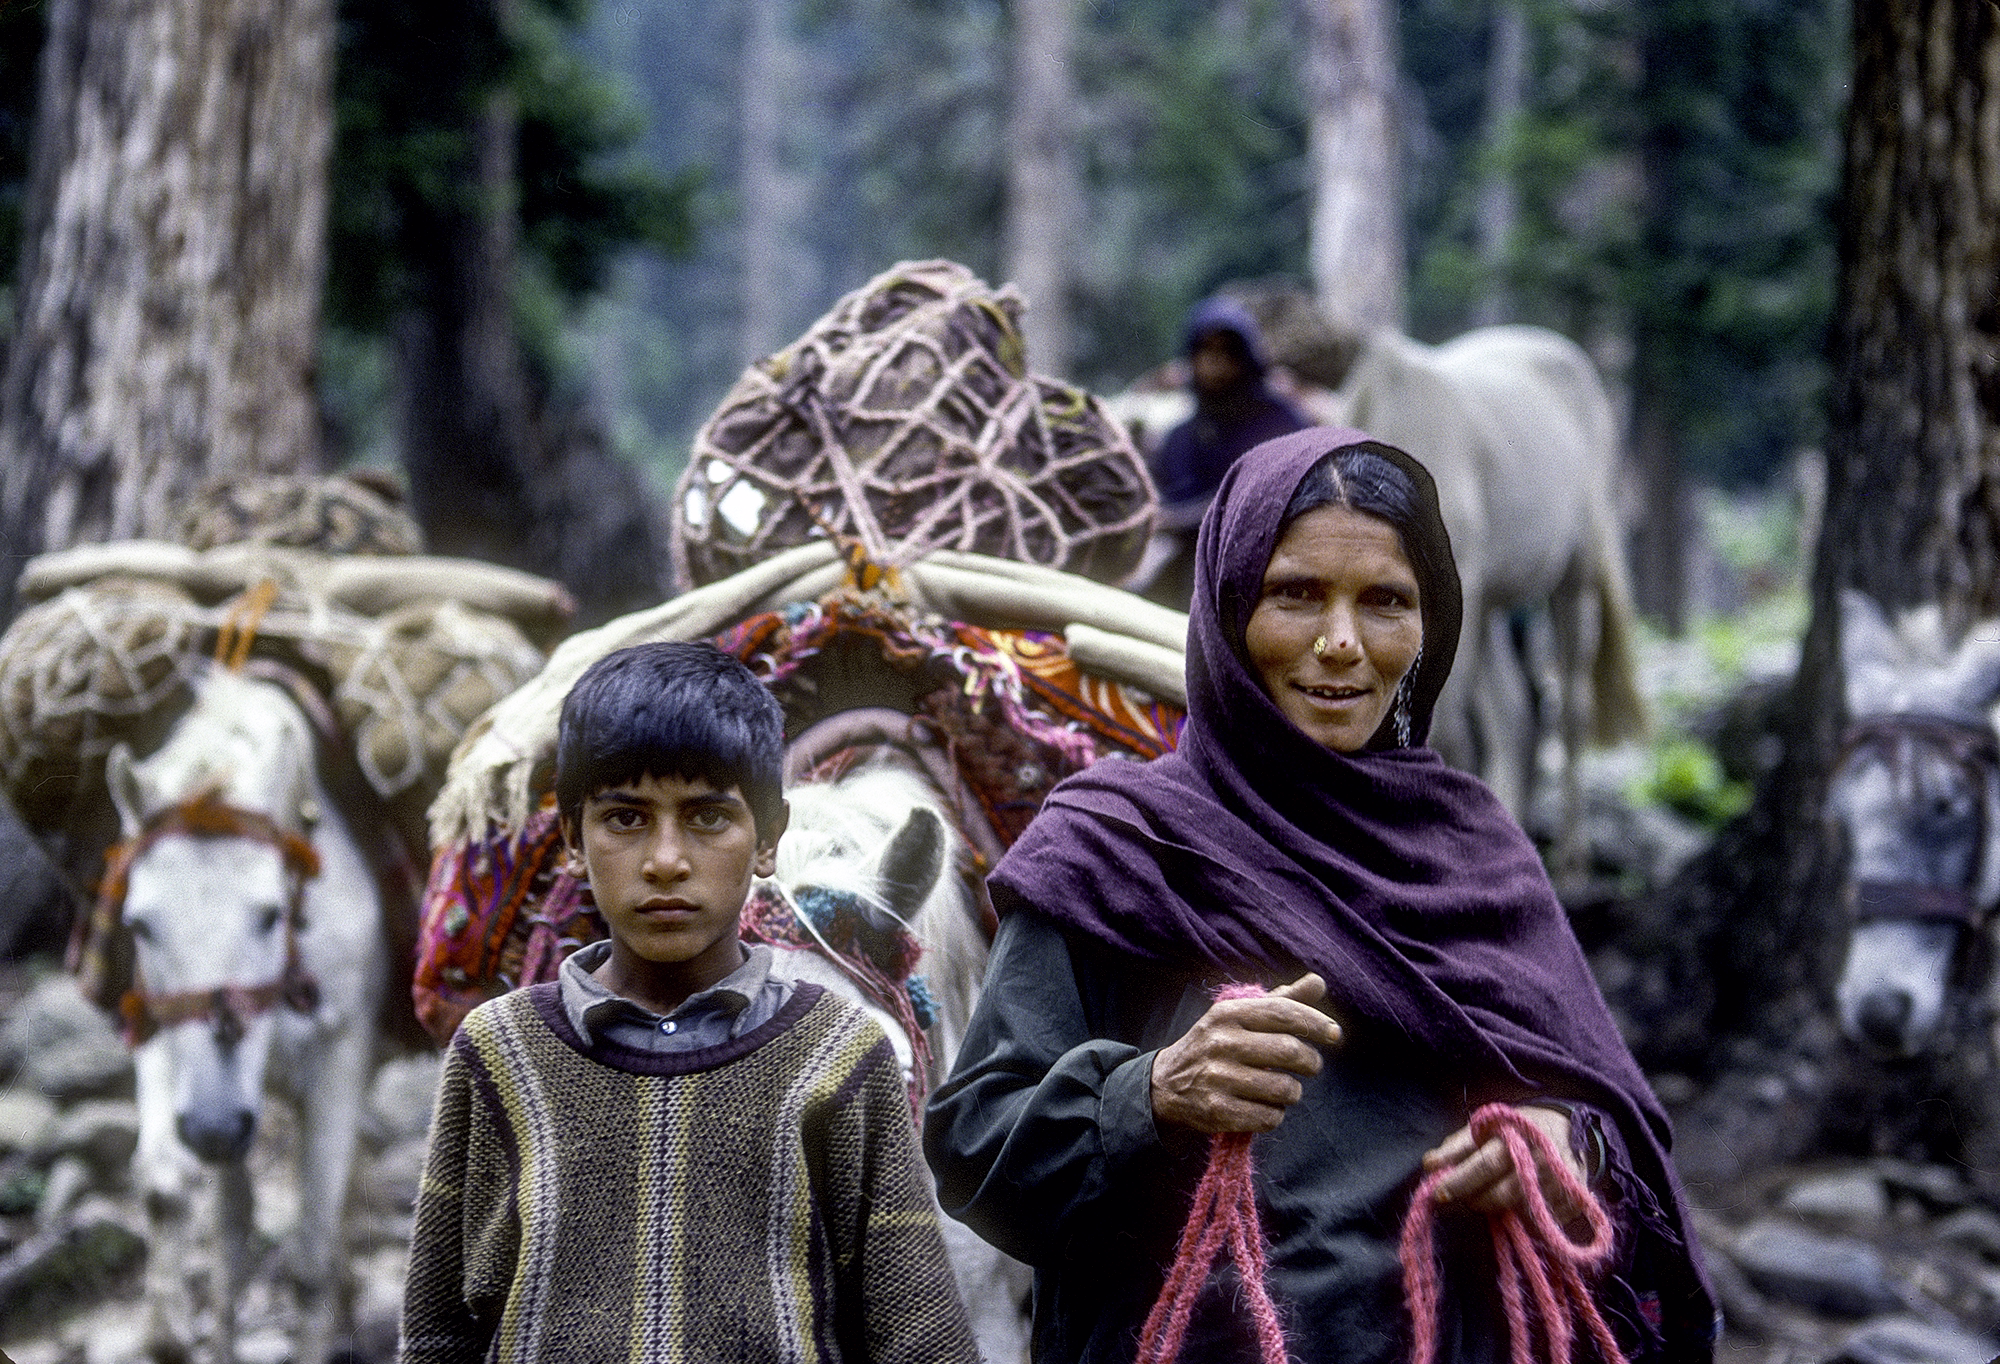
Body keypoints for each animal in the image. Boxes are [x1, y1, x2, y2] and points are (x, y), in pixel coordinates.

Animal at [98, 660, 387, 1364]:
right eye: (138, 925)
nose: (214, 1128)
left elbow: (309, 1254)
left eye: (270, 914)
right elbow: (173, 1193)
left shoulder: (341, 1058)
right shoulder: (160, 1034)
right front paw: (168, 1332)